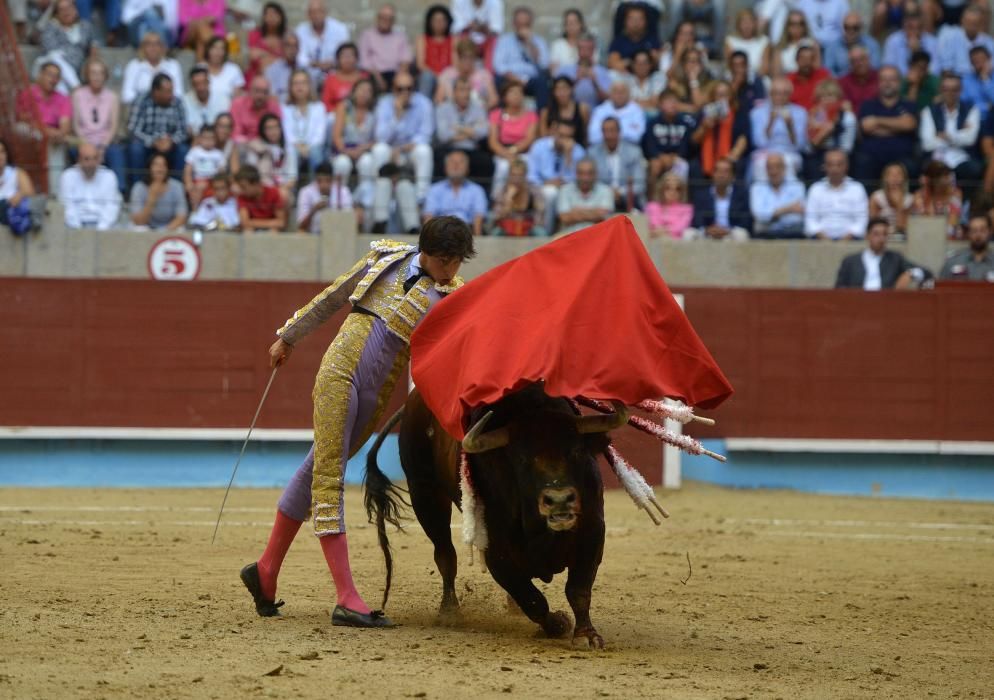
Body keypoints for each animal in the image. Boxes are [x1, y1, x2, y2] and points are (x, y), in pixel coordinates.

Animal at [364, 382, 628, 652]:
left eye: (576, 451)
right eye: (522, 459)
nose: (559, 500)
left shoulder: (593, 532)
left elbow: (579, 590)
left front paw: (586, 635)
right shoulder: (497, 552)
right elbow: (533, 600)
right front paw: (558, 623)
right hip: (424, 492)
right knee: (445, 554)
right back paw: (450, 612)